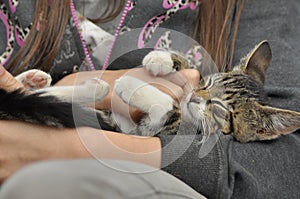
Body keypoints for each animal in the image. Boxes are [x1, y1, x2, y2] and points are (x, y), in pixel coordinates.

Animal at [113, 41, 300, 142]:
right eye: (209, 83)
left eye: (220, 108)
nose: (194, 97)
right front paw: (161, 59)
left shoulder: (157, 130)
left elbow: (170, 110)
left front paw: (131, 87)